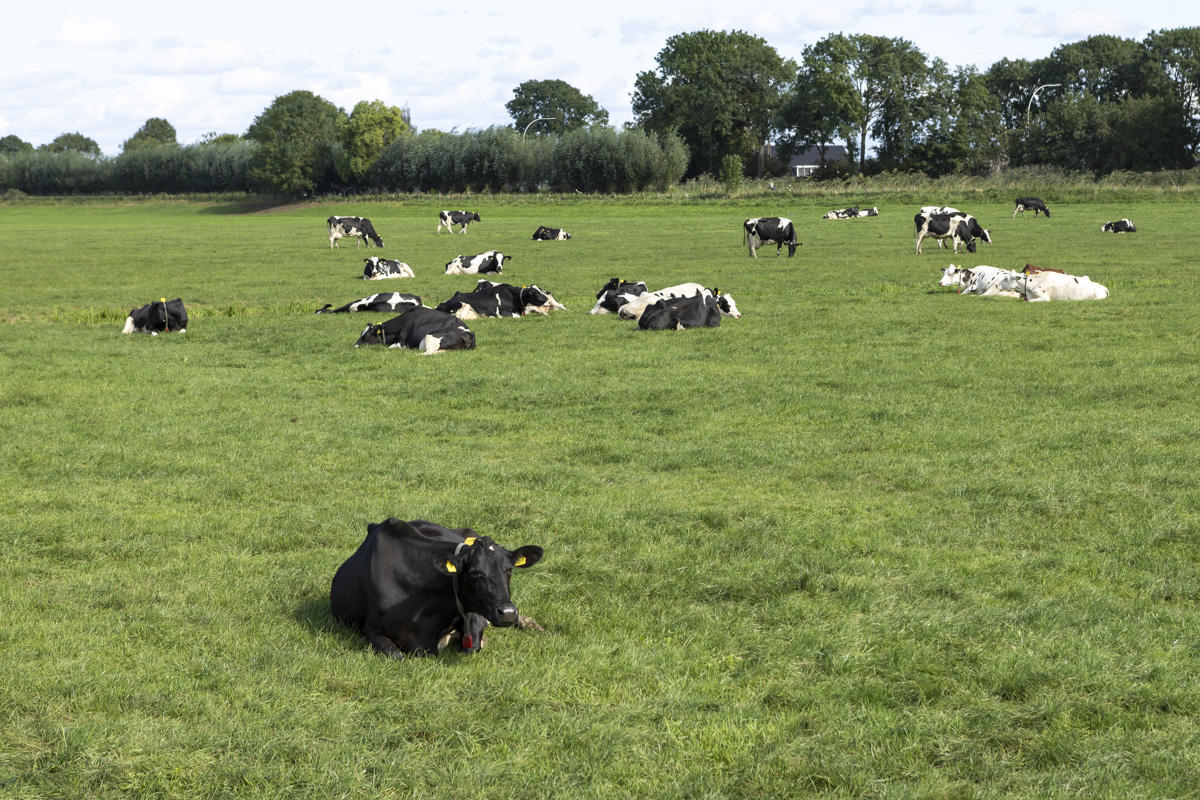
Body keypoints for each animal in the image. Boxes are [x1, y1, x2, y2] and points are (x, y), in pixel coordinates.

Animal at [330, 517, 543, 658]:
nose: (507, 613)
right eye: (475, 573)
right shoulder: (372, 630)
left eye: (509, 570)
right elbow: (397, 655)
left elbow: (471, 644)